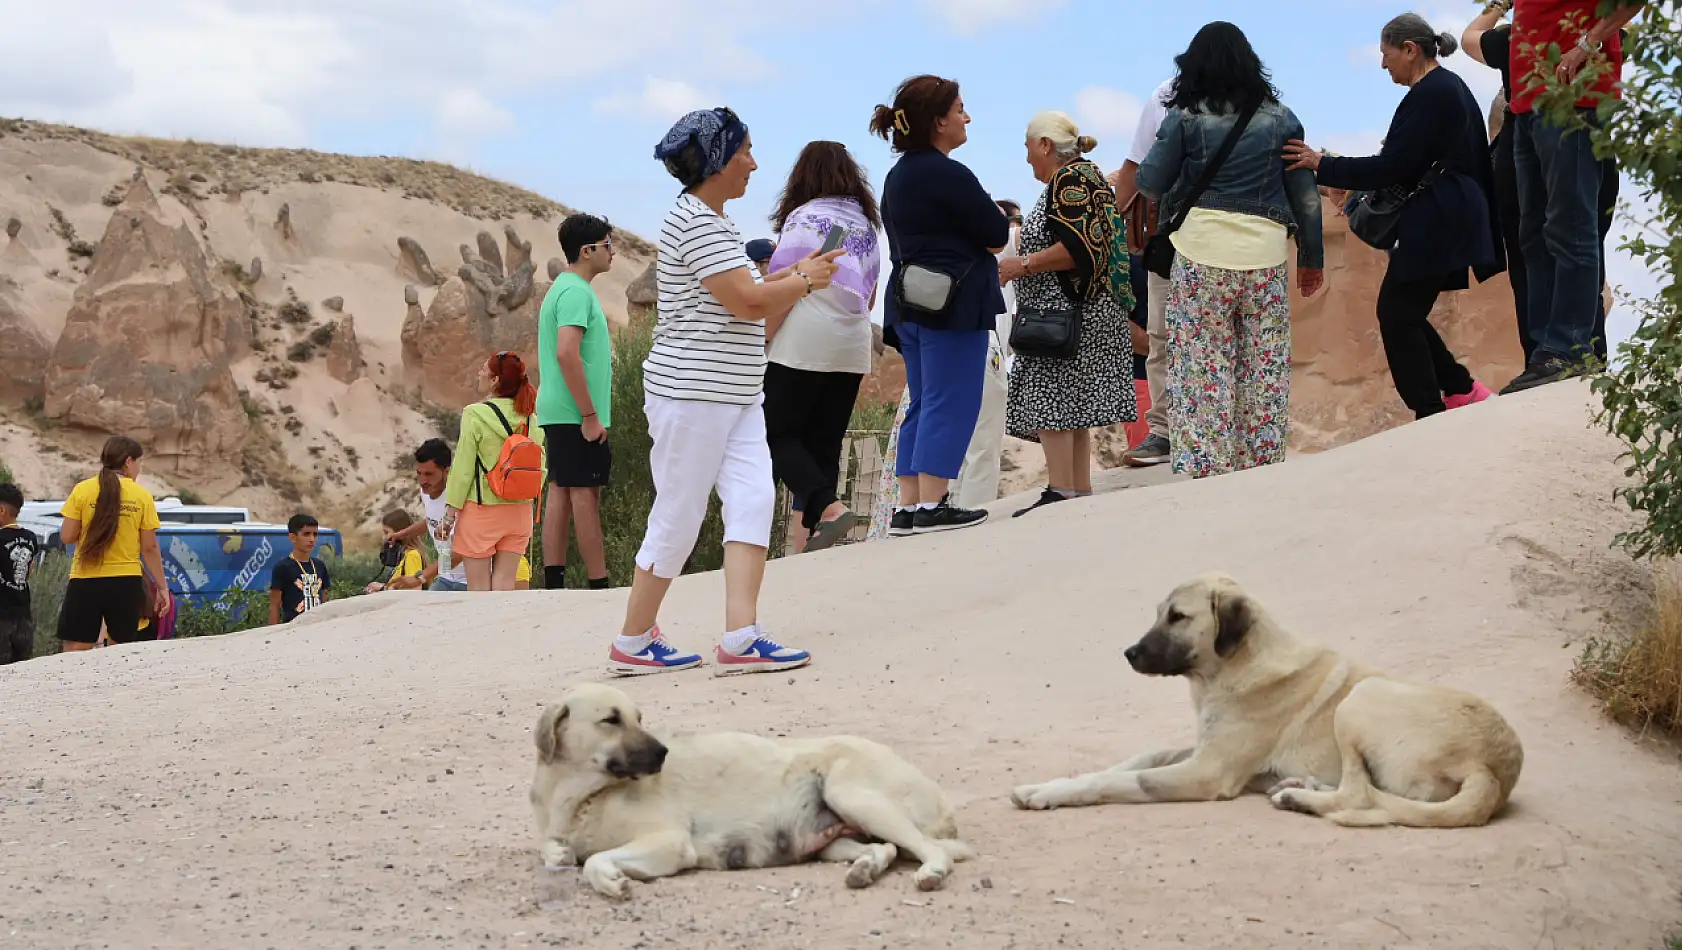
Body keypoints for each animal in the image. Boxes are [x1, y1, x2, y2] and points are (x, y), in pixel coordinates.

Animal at [524, 682, 975, 894]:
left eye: (639, 718)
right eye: (611, 720)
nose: (664, 753)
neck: (580, 795)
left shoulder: (669, 842)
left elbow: (596, 860)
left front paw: (609, 880)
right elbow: (555, 849)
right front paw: (560, 852)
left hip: (851, 795)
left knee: (930, 850)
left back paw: (931, 872)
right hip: (831, 840)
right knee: (885, 849)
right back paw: (865, 869)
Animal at [1009, 568, 1527, 827]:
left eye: (1178, 617)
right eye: (1158, 613)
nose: (1129, 654)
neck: (1233, 667)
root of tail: (1493, 771)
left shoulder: (1207, 771)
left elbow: (1116, 781)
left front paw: (1051, 794)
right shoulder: (1202, 747)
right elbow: (1138, 757)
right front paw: (1047, 782)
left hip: (1363, 696)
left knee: (1359, 794)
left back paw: (1300, 799)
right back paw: (1301, 788)